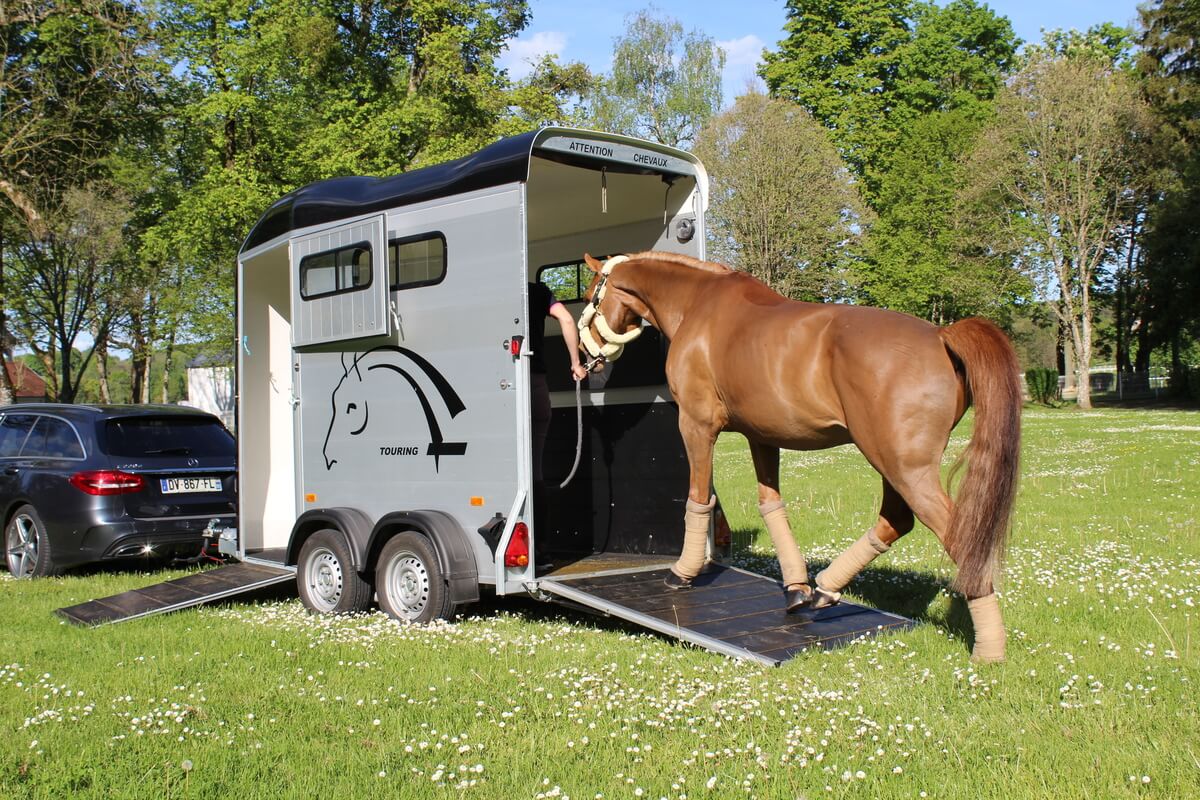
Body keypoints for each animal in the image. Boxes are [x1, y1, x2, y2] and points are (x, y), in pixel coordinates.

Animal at [577, 252, 1022, 662]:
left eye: (590, 293)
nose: (583, 356)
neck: (698, 305)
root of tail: (942, 335)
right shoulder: (762, 437)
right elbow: (771, 506)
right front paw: (796, 588)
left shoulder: (697, 426)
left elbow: (698, 499)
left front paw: (682, 573)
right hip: (893, 465)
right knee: (896, 520)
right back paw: (824, 589)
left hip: (903, 467)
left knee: (959, 536)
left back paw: (989, 649)